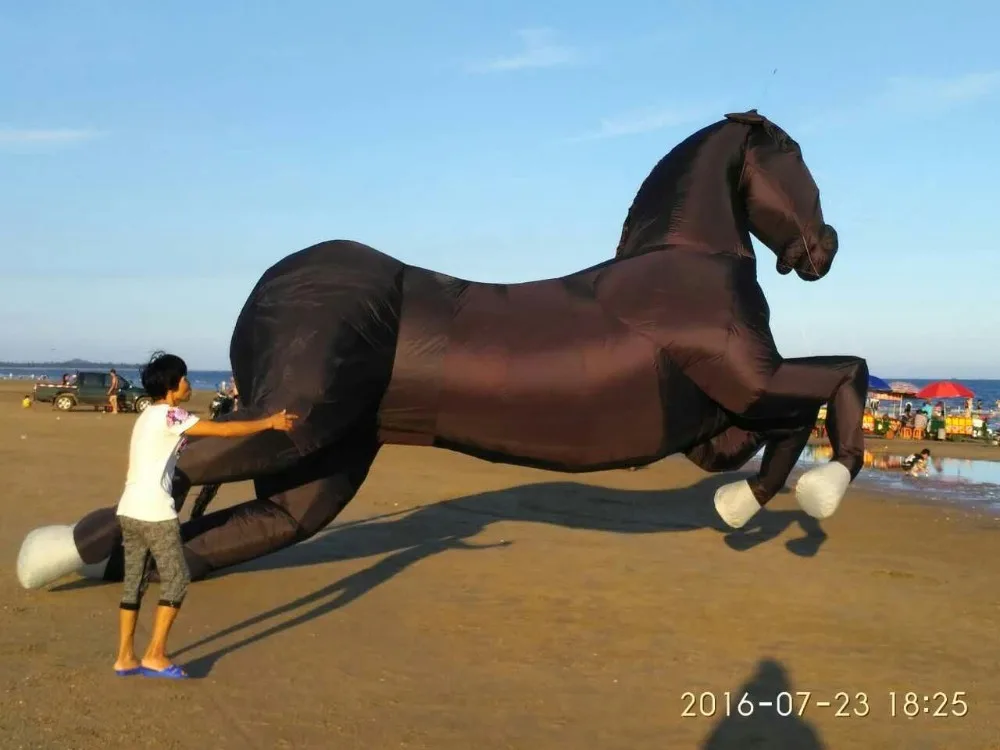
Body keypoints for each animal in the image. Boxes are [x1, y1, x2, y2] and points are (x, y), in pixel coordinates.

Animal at [16, 109, 868, 590]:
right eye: (794, 159)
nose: (824, 249)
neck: (687, 269)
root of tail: (273, 290)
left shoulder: (721, 423)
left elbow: (789, 428)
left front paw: (741, 505)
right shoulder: (750, 382)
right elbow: (843, 377)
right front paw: (821, 493)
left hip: (320, 468)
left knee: (237, 528)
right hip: (298, 426)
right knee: (186, 468)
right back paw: (48, 557)